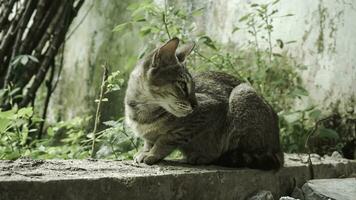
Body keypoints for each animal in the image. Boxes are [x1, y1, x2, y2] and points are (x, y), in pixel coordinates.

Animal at [125, 37, 284, 169]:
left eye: (194, 86)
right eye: (182, 85)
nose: (195, 105)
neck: (142, 113)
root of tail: (279, 148)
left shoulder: (210, 109)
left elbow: (166, 139)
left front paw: (153, 154)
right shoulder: (148, 135)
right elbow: (149, 141)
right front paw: (146, 151)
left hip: (242, 96)